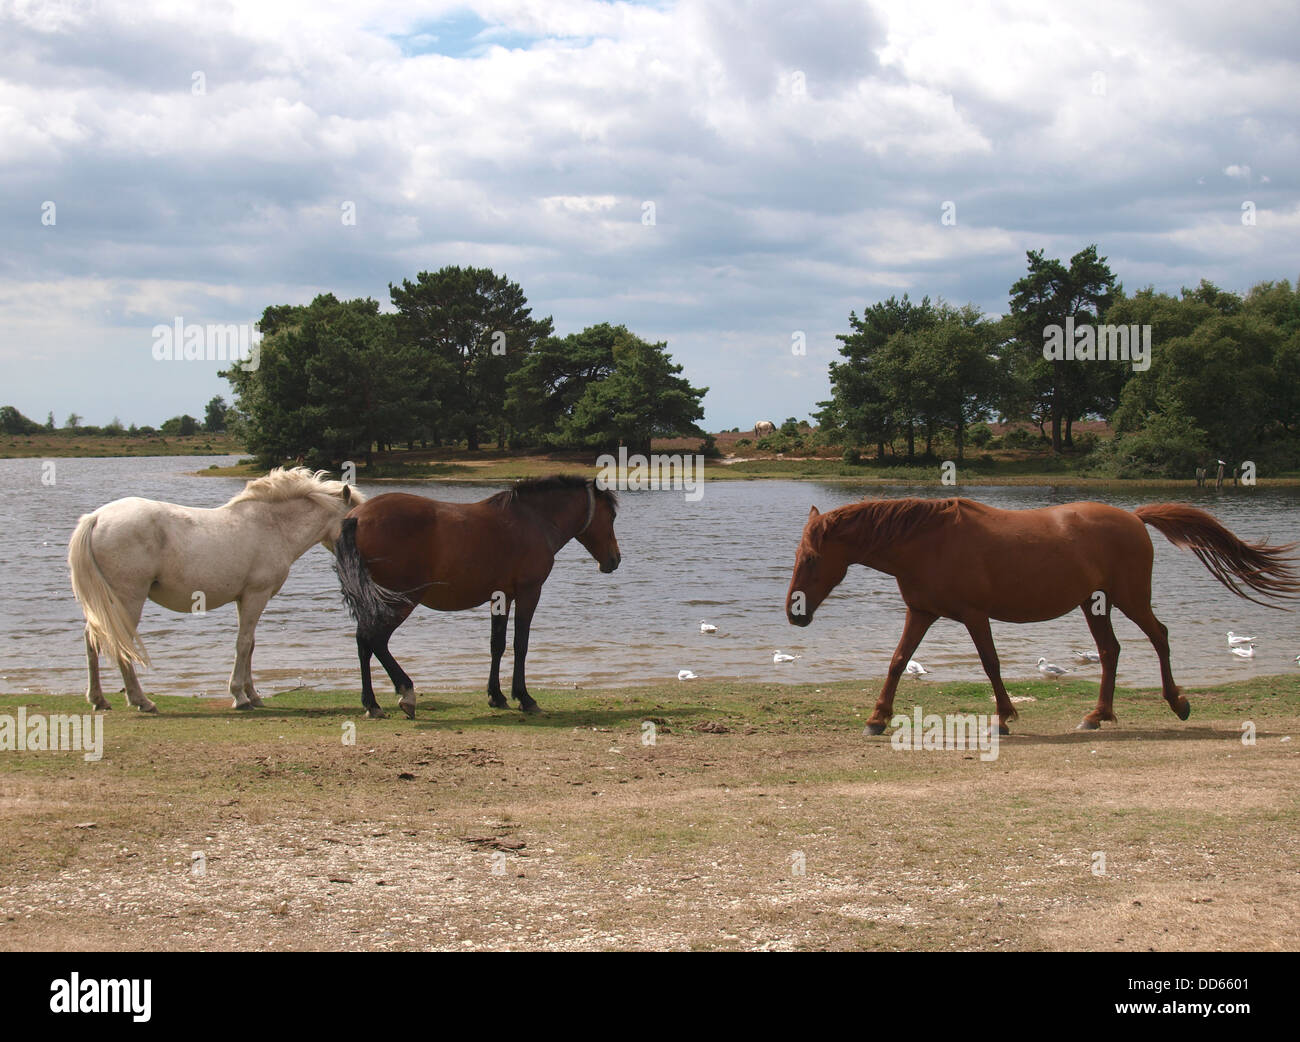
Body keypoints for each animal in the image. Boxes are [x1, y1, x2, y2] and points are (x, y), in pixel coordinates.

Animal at [68, 468, 361, 712]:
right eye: (355, 520)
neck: (273, 526)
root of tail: (96, 518)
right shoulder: (256, 595)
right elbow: (243, 643)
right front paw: (240, 697)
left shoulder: (244, 598)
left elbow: (250, 644)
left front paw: (253, 695)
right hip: (128, 599)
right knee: (120, 642)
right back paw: (142, 701)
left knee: (93, 639)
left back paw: (99, 699)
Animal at [333, 474, 621, 719]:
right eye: (612, 515)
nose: (614, 559)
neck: (533, 520)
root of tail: (356, 517)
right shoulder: (529, 593)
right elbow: (520, 644)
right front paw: (524, 697)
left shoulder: (502, 597)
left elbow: (497, 644)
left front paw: (497, 695)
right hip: (400, 600)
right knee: (376, 640)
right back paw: (406, 693)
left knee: (363, 642)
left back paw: (372, 704)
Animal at [784, 497, 1299, 733]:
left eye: (811, 558)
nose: (794, 614)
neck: (927, 541)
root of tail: (1135, 517)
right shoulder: (922, 613)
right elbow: (895, 662)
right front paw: (877, 718)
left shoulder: (974, 616)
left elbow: (990, 664)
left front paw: (1004, 716)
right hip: (1095, 604)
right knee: (1110, 651)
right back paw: (1097, 715)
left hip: (1130, 598)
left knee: (1160, 637)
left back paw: (1178, 703)